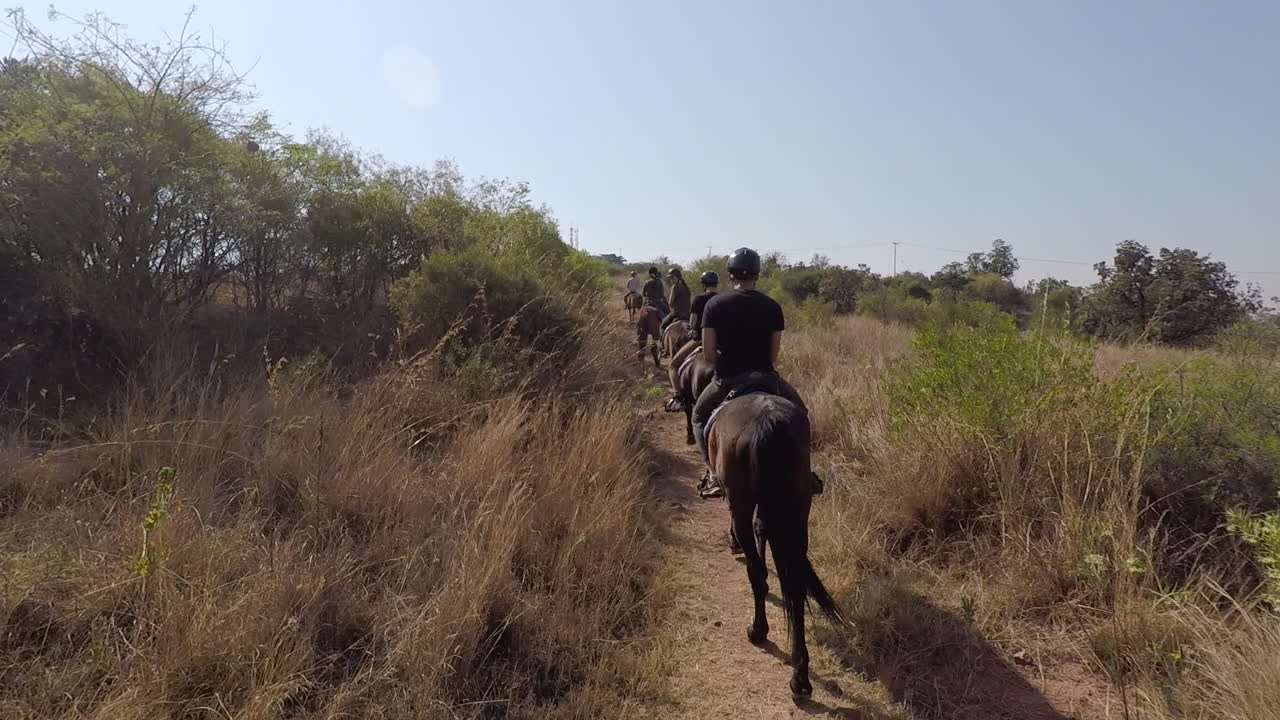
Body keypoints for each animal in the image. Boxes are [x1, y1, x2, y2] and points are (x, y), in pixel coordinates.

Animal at [707, 393, 846, 698]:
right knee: (796, 588)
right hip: (798, 507)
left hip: (743, 503)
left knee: (756, 573)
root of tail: (767, 422)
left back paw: (758, 631)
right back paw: (800, 676)